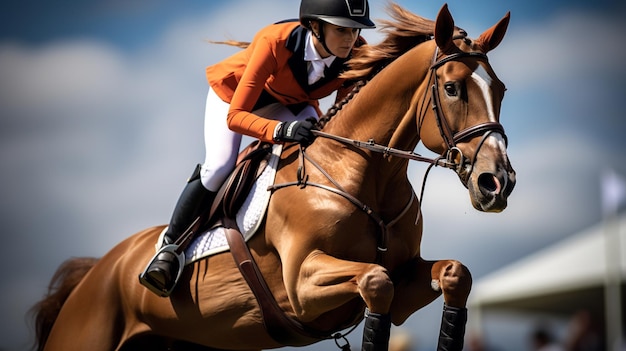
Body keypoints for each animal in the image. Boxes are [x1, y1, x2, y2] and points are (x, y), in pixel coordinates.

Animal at [31, 3, 516, 351]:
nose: (498, 183)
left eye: (501, 89)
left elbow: (455, 274)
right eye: (452, 88)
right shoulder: (303, 281)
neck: (361, 173)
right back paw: (161, 264)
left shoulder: (407, 277)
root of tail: (96, 272)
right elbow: (375, 281)